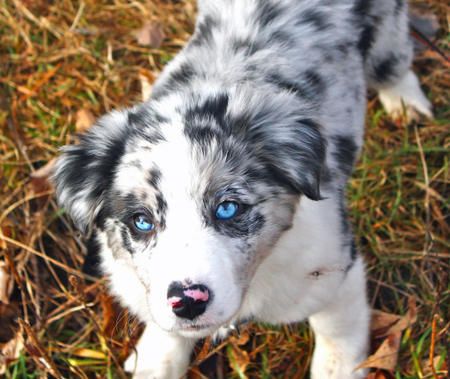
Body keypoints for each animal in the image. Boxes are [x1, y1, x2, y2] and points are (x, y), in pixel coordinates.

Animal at [52, 1, 432, 378]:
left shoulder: (333, 268)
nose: (187, 301)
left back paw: (406, 102)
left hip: (387, 30)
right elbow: (165, 332)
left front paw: (338, 367)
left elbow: (337, 332)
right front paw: (155, 359)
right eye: (141, 221)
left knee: (396, 60)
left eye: (227, 208)